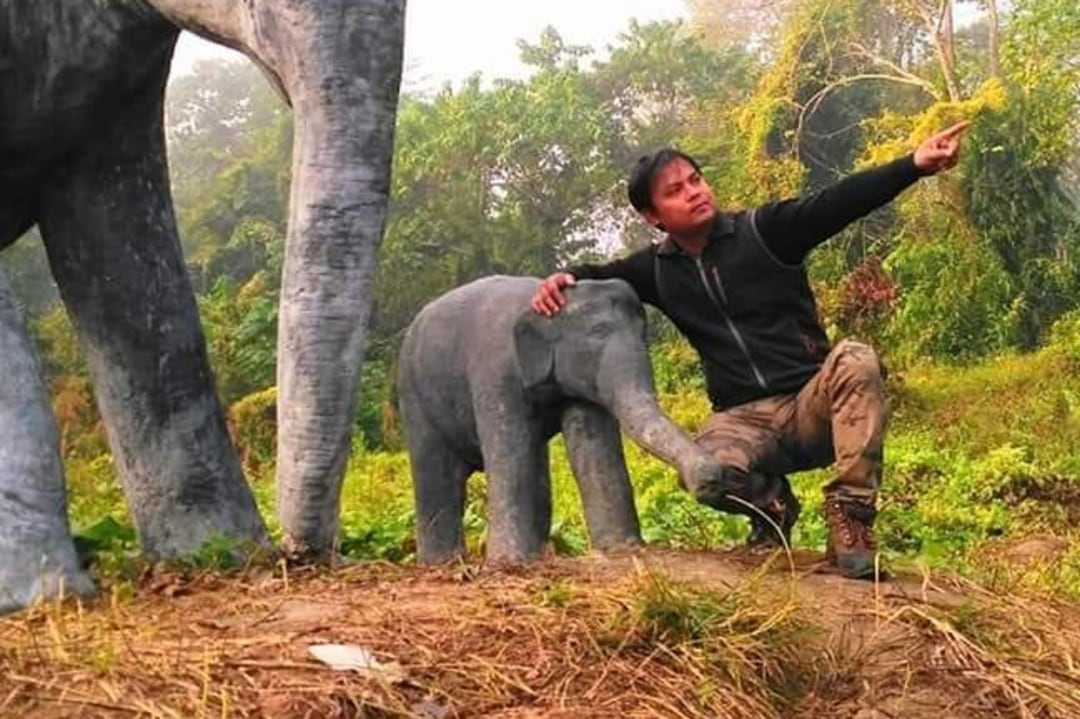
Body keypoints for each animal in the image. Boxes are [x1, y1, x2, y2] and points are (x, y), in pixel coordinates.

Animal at [397, 276, 752, 565]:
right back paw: (442, 563)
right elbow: (509, 452)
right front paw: (509, 564)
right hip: (412, 394)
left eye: (644, 335)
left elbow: (593, 445)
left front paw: (621, 549)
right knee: (435, 471)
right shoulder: (494, 372)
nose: (713, 479)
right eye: (598, 331)